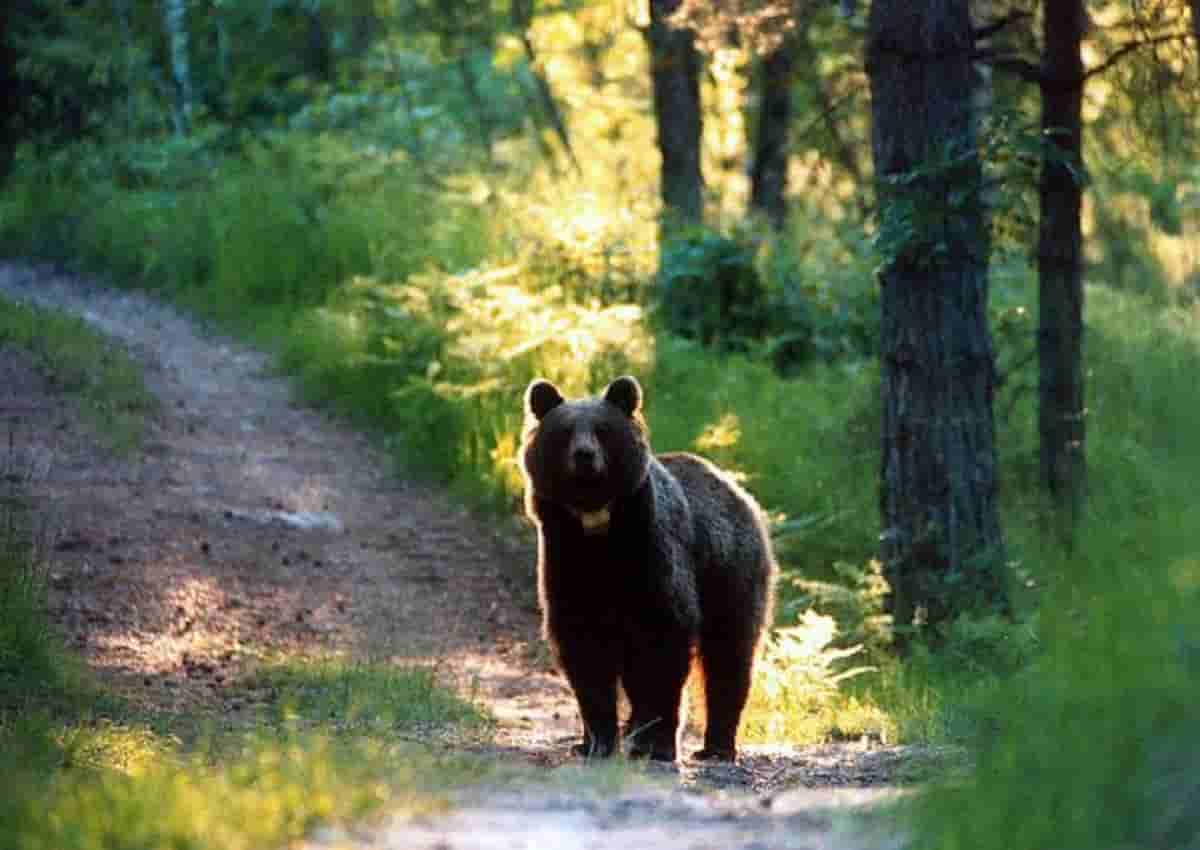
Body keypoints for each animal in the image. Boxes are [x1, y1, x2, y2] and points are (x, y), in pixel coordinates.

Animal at [520, 375, 776, 762]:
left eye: (602, 430)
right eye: (564, 431)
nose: (584, 456)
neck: (598, 528)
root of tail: (737, 490)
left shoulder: (652, 556)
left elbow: (663, 643)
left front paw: (655, 742)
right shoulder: (566, 561)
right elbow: (583, 649)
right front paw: (598, 741)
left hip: (730, 571)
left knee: (730, 654)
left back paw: (716, 746)